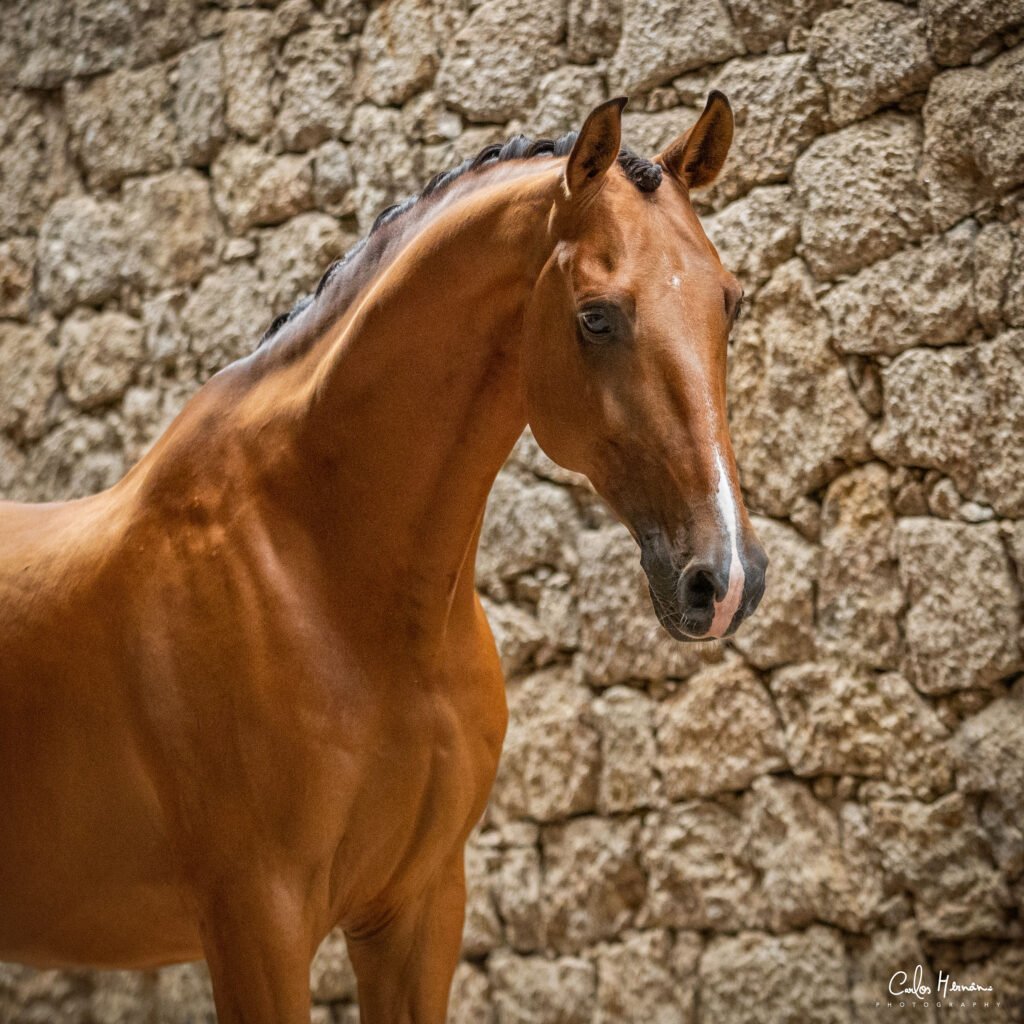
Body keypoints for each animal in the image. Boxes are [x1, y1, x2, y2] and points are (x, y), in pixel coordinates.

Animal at [0, 92, 765, 1019]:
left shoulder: (419, 907)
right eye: (596, 316)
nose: (724, 579)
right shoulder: (258, 924)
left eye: (729, 302)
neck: (325, 572)